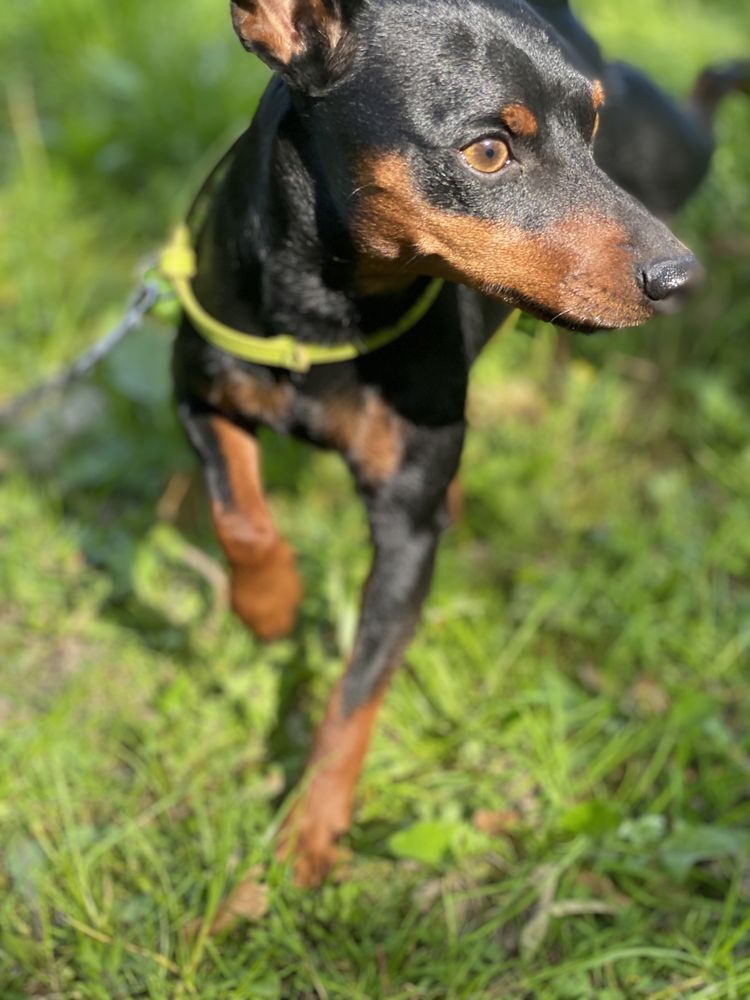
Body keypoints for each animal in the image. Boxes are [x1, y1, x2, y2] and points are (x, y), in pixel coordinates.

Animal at [175, 0, 748, 884]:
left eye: (591, 127)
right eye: (487, 151)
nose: (678, 277)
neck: (326, 314)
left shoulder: (406, 532)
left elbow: (353, 702)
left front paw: (308, 840)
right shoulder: (198, 390)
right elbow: (240, 516)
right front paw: (270, 609)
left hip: (671, 151)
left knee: (703, 105)